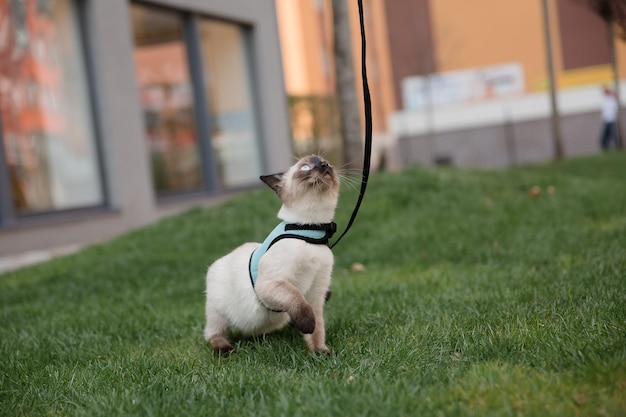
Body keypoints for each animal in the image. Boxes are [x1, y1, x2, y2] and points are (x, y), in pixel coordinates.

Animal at [202, 154, 338, 352]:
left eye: (325, 162)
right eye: (305, 168)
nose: (324, 165)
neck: (311, 231)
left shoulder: (316, 292)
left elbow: (317, 328)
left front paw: (319, 352)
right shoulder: (271, 284)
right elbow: (297, 301)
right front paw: (306, 325)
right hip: (218, 312)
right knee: (214, 333)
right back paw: (225, 350)